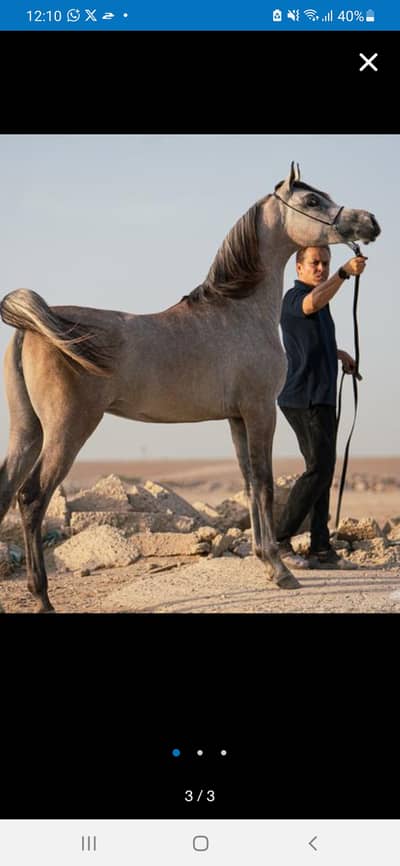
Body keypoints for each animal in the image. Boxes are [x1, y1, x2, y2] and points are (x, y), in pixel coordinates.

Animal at [0, 162, 380, 612]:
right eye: (312, 200)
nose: (370, 222)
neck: (239, 311)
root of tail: (30, 327)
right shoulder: (260, 411)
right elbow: (266, 483)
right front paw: (280, 569)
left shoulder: (236, 419)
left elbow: (249, 482)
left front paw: (264, 560)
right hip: (67, 430)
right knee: (31, 498)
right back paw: (42, 597)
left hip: (27, 431)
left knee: (6, 491)